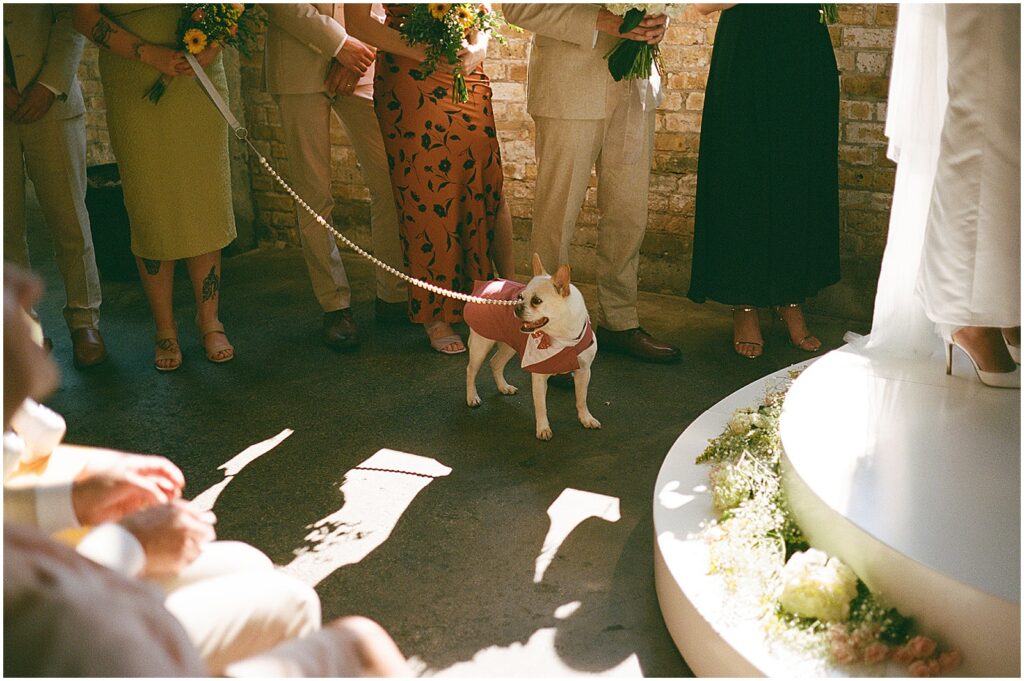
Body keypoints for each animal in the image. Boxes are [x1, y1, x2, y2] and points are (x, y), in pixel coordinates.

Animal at [464, 251, 598, 438]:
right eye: (520, 297)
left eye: (536, 301)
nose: (516, 307)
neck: (563, 336)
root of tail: (486, 284)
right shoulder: (539, 377)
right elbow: (541, 406)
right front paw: (543, 428)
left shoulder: (584, 372)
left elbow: (581, 399)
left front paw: (586, 418)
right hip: (481, 346)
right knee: (471, 370)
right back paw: (472, 397)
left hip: (509, 346)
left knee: (495, 363)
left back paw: (503, 387)